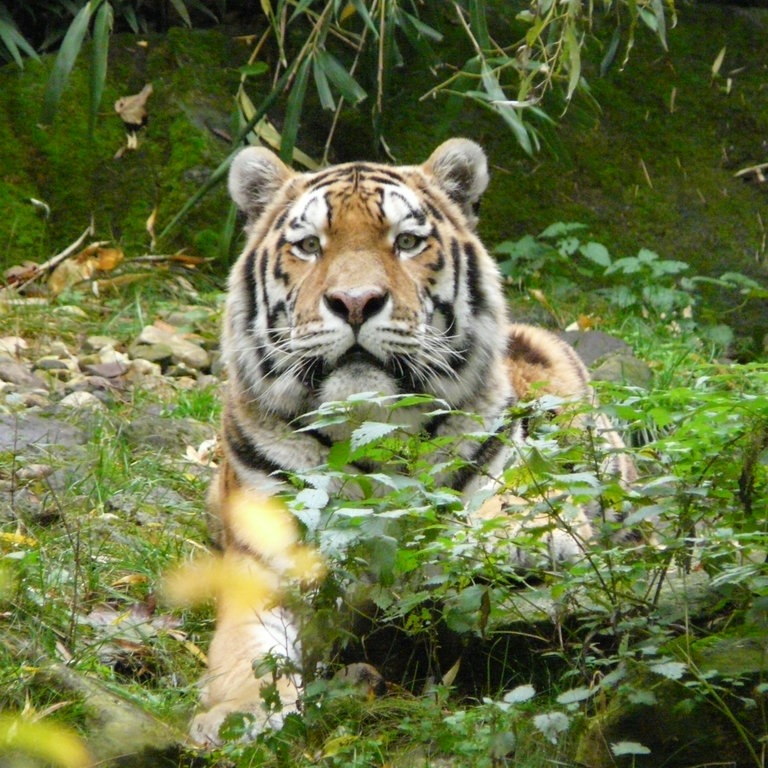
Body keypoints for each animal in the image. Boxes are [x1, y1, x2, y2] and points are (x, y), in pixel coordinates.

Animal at [188, 136, 636, 744]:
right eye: (308, 246)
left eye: (406, 242)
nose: (355, 302)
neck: (368, 436)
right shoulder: (265, 565)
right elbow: (246, 653)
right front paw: (234, 719)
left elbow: (500, 515)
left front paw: (504, 541)